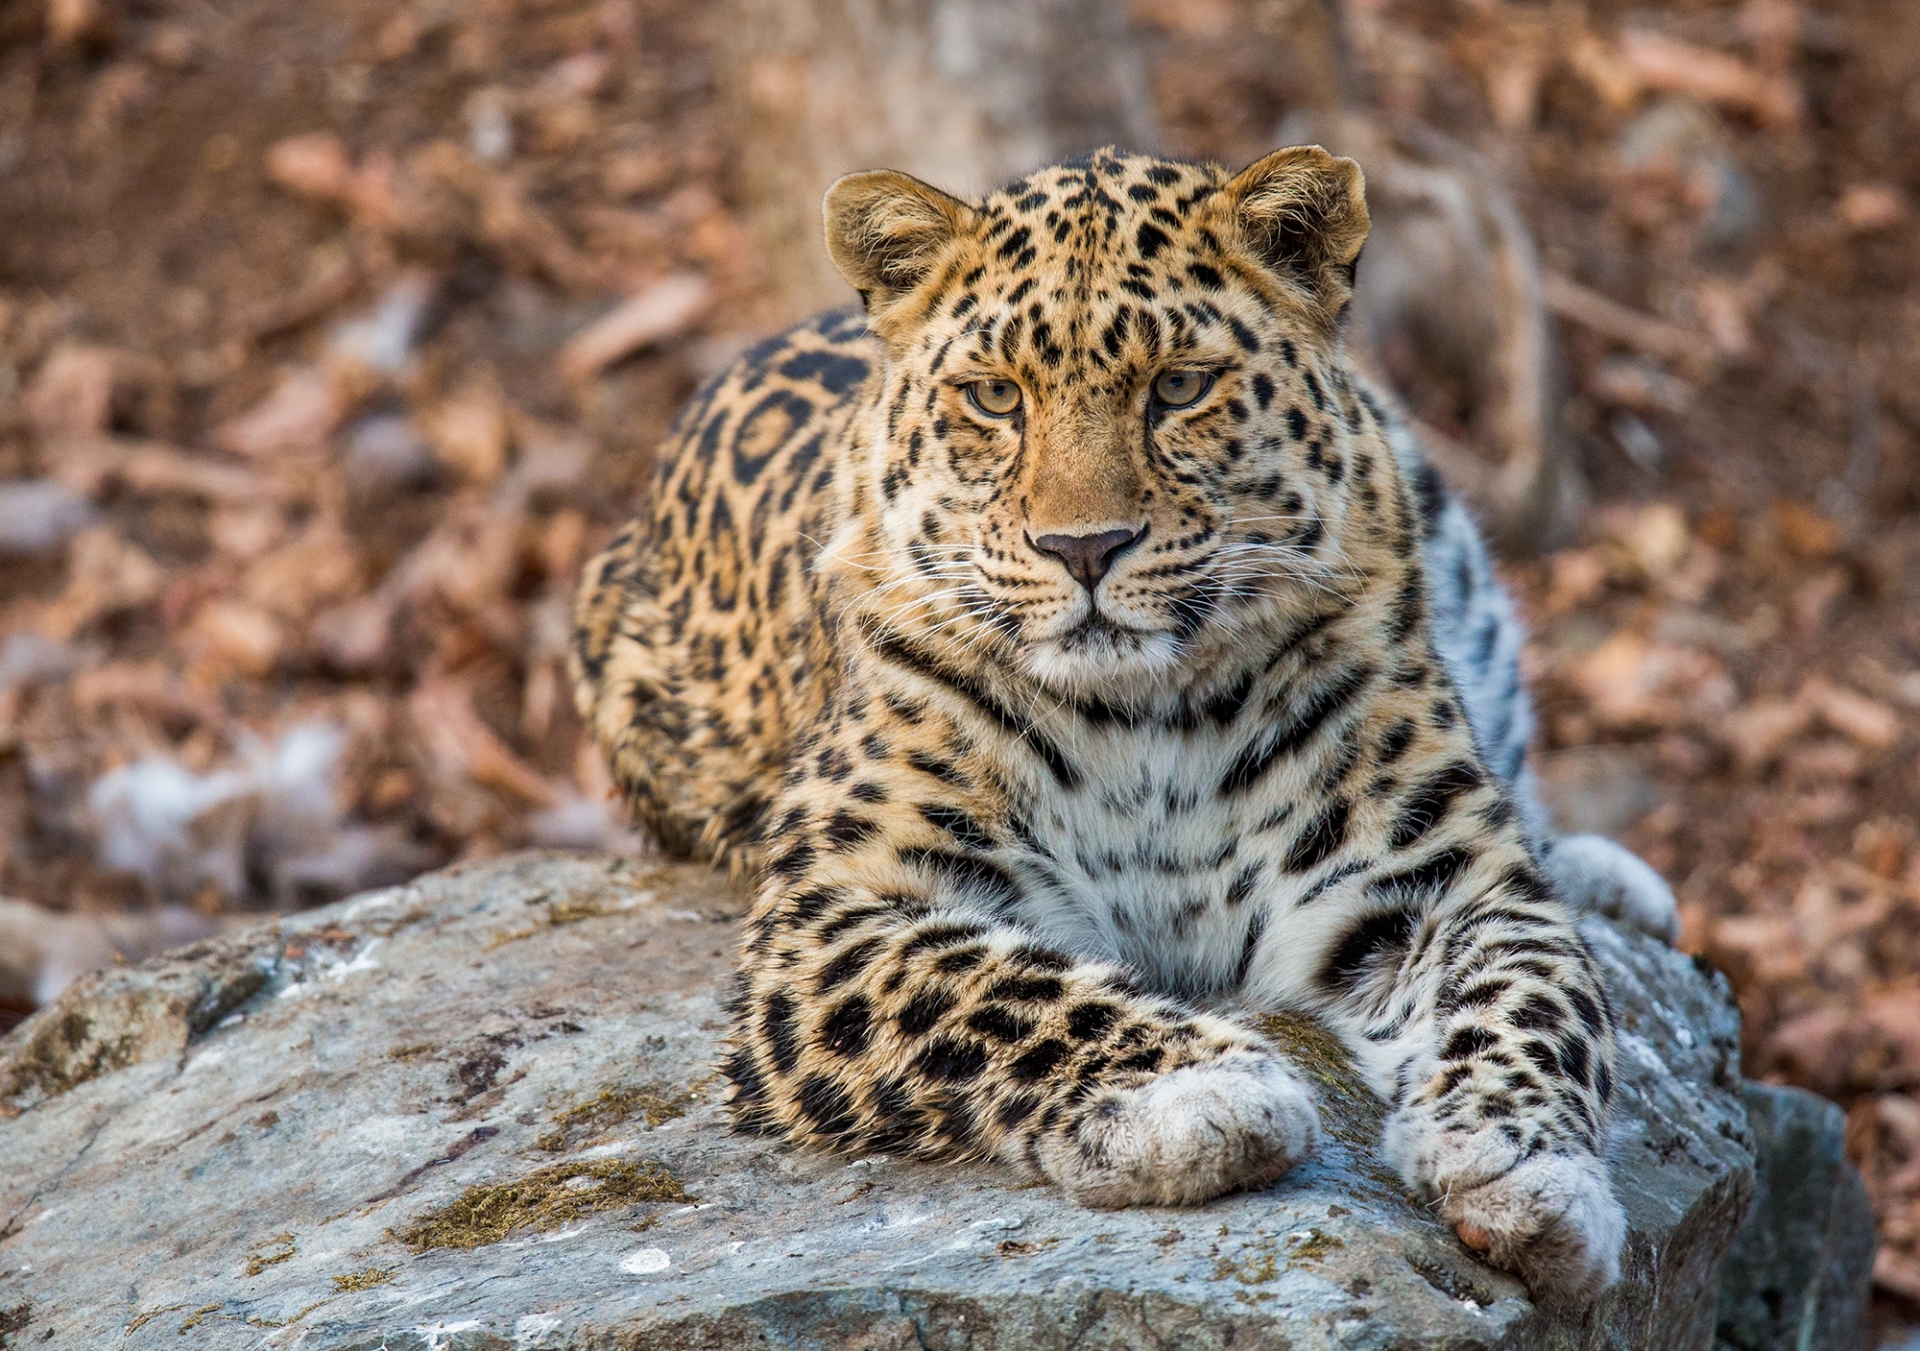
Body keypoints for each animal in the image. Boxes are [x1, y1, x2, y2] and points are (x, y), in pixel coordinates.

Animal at [568, 142, 1681, 1304]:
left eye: (1178, 387)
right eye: (994, 397)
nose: (1085, 548)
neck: (1149, 717)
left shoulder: (1441, 881)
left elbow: (1537, 997)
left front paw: (1523, 1168)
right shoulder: (836, 917)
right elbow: (1004, 991)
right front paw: (1203, 1093)